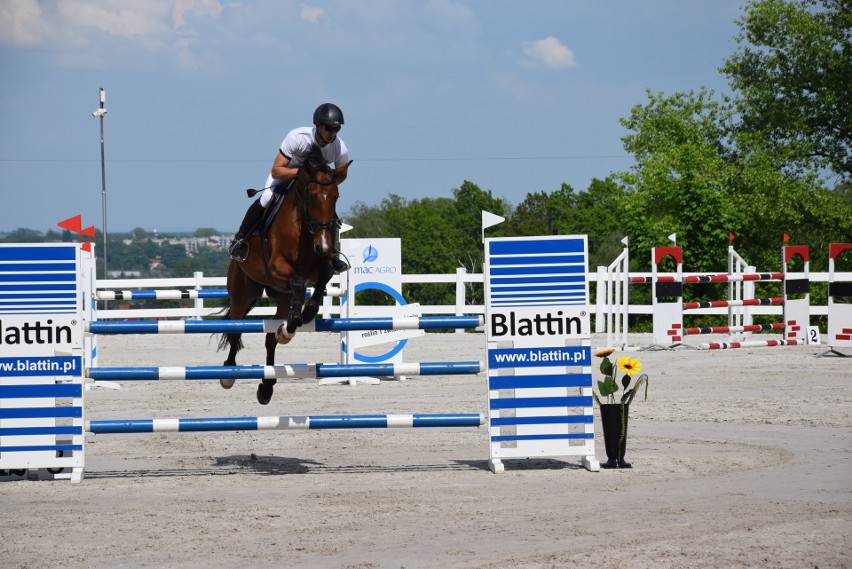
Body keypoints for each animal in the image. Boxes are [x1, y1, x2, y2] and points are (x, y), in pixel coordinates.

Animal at [221, 153, 354, 402]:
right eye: (311, 196)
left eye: (336, 196)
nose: (322, 244)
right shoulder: (277, 267)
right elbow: (299, 282)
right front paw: (293, 323)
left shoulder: (322, 264)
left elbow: (324, 276)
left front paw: (305, 314)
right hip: (242, 293)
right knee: (235, 329)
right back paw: (228, 373)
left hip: (282, 298)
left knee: (270, 338)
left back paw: (267, 385)